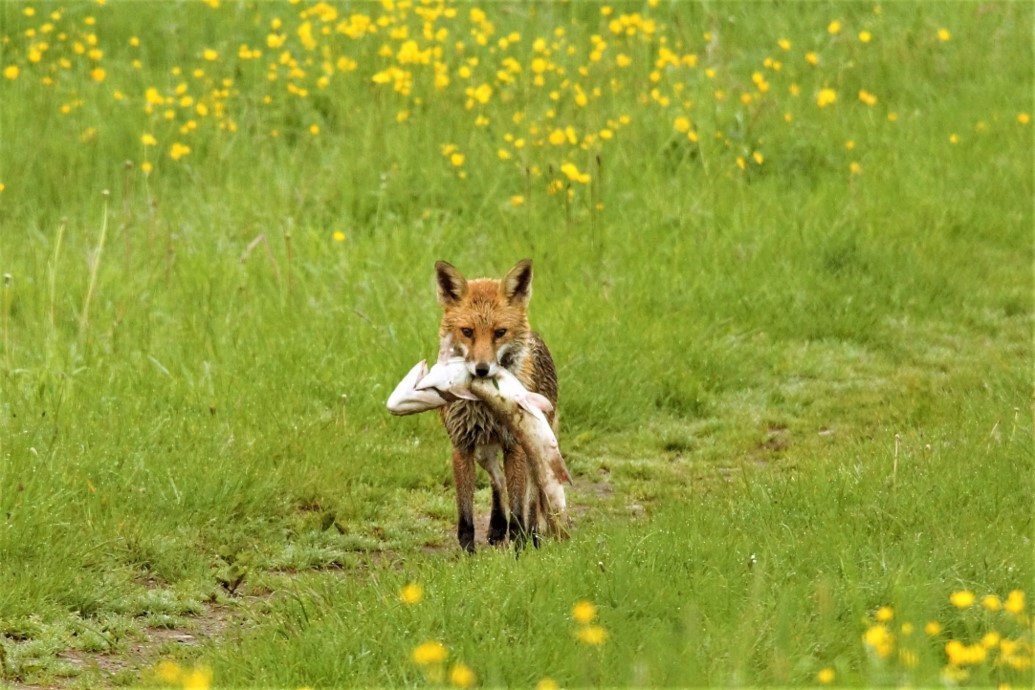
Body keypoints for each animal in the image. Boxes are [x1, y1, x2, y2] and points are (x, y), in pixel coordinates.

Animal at [434, 258, 559, 553]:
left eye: (500, 333)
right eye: (467, 332)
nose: (482, 369)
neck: (484, 405)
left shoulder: (515, 446)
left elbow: (519, 510)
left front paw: (519, 549)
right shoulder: (462, 446)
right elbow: (466, 515)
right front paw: (468, 555)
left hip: (534, 447)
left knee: (532, 499)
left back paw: (532, 537)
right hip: (485, 452)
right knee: (498, 480)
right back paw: (496, 526)